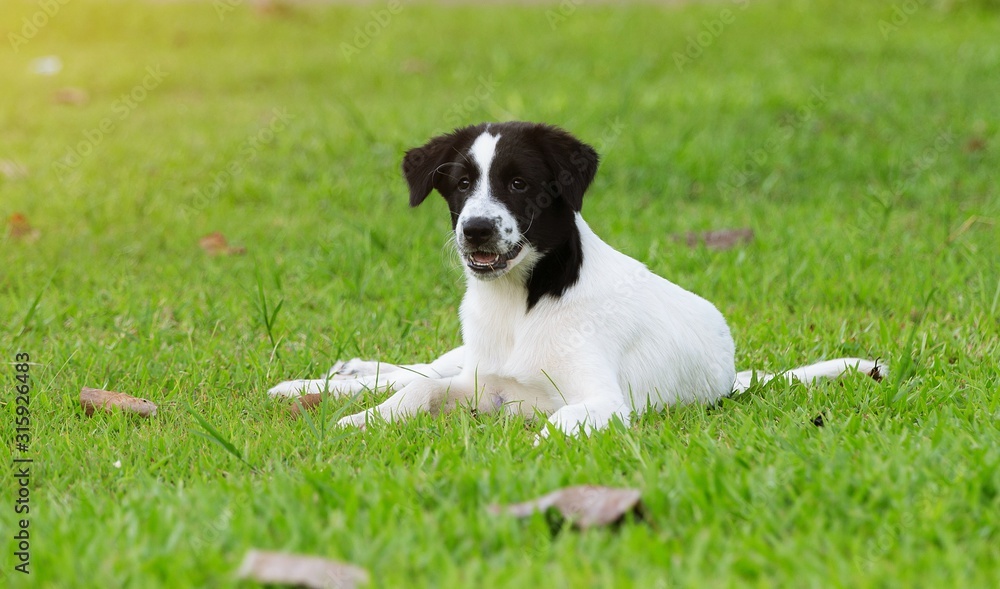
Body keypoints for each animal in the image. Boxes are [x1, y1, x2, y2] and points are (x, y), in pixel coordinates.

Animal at [268, 120, 884, 436]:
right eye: (461, 183)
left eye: (519, 183)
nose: (476, 230)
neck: (523, 302)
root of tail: (734, 375)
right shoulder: (481, 380)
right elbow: (421, 388)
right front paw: (363, 418)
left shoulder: (601, 400)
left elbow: (560, 422)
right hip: (464, 355)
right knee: (419, 368)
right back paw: (320, 382)